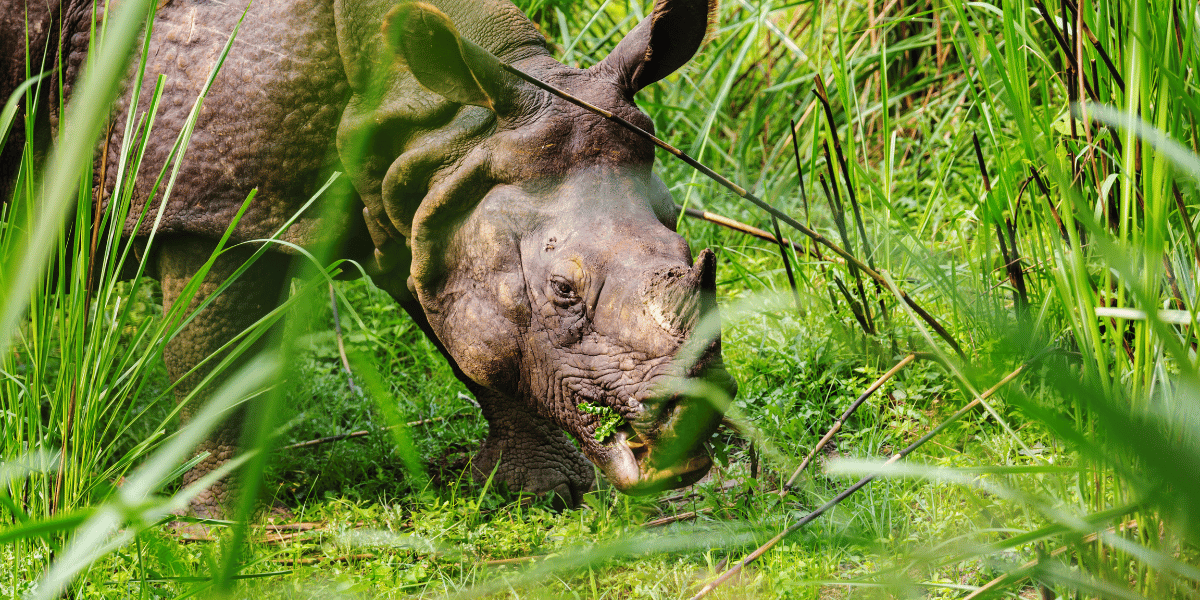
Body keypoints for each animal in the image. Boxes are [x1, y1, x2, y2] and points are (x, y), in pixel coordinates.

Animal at [0, 0, 734, 516]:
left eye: (685, 244)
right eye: (562, 290)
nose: (691, 424)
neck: (432, 111)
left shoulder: (428, 184)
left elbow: (462, 327)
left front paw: (539, 493)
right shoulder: (208, 208)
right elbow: (215, 364)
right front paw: (219, 519)